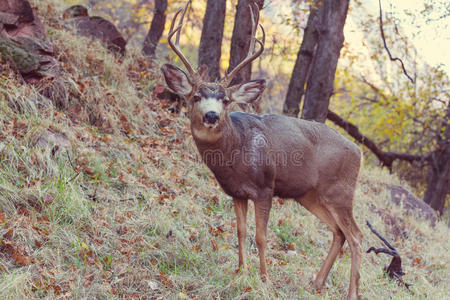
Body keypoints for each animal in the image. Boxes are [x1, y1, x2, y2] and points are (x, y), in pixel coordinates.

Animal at [160, 1, 364, 298]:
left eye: (225, 100)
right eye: (196, 96)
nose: (211, 115)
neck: (237, 154)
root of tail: (360, 153)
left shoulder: (265, 187)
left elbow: (261, 236)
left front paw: (265, 280)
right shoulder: (237, 192)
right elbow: (241, 232)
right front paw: (241, 272)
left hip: (340, 191)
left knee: (356, 235)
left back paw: (350, 292)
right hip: (310, 195)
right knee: (339, 232)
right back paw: (316, 282)